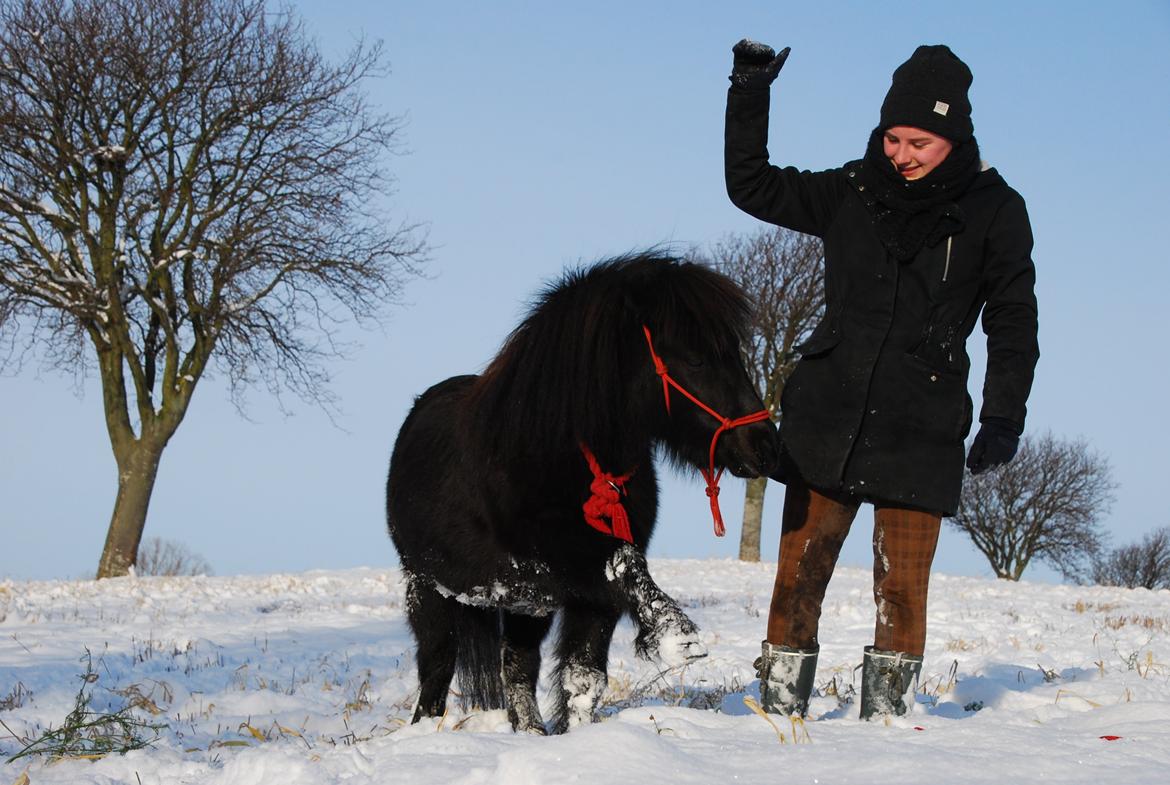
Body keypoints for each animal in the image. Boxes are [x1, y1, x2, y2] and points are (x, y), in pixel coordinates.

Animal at [388, 255, 781, 734]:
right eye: (696, 359)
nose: (766, 446)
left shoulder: (589, 603)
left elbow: (583, 678)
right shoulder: (544, 564)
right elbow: (623, 562)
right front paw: (677, 635)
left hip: (524, 610)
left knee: (515, 667)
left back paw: (530, 733)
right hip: (428, 589)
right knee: (438, 667)